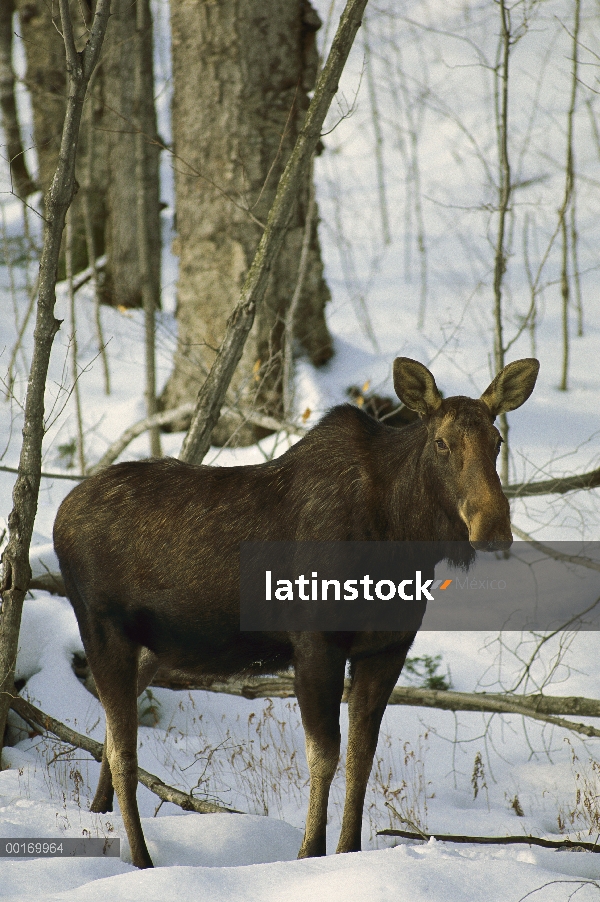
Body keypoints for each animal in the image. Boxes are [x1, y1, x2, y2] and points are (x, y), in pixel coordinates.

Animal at [51, 358, 540, 868]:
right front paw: (309, 853)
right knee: (123, 751)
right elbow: (324, 755)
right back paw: (143, 860)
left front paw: (347, 849)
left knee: (111, 735)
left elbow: (361, 756)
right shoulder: (315, 643)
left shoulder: (387, 647)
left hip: (151, 647)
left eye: (497, 441)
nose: (493, 527)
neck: (400, 536)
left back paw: (101, 817)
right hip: (102, 628)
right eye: (442, 443)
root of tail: (58, 515)